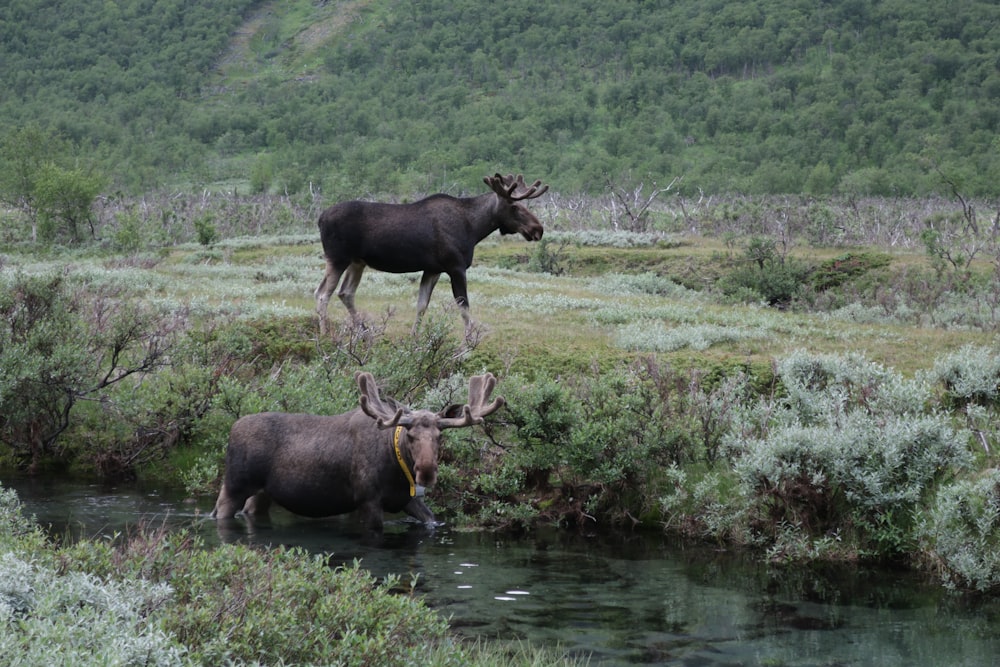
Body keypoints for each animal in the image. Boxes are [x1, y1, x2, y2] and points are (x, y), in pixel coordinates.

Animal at [212, 370, 508, 536]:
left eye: (439, 436)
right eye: (410, 435)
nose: (426, 472)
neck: (397, 471)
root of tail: (231, 429)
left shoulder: (407, 500)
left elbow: (432, 520)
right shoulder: (368, 499)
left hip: (262, 493)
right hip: (234, 485)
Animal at [314, 174, 548, 334]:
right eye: (514, 206)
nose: (538, 229)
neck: (474, 229)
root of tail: (320, 218)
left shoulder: (433, 269)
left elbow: (421, 306)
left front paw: (415, 338)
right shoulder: (455, 267)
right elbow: (464, 306)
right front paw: (469, 341)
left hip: (357, 262)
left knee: (343, 292)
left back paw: (363, 330)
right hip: (338, 258)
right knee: (323, 294)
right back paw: (325, 334)